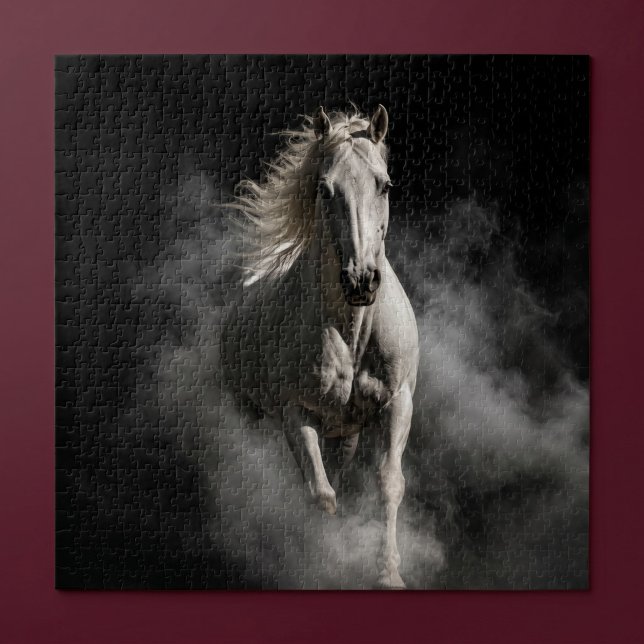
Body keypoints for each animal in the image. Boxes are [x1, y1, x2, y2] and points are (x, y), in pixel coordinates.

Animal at [223, 105, 419, 589]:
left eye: (385, 184)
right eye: (325, 188)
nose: (361, 280)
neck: (352, 333)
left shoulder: (397, 403)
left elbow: (388, 483)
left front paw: (388, 573)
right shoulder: (296, 413)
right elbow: (320, 495)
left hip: (345, 432)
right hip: (250, 414)